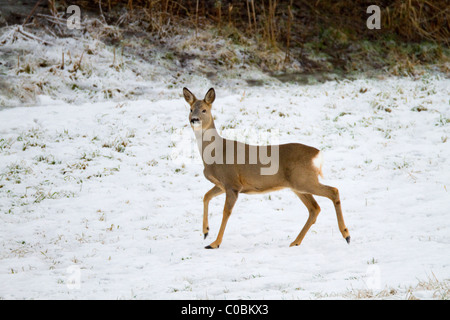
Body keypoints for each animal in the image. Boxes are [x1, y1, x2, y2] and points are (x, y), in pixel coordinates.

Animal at [183, 87, 352, 250]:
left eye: (204, 110)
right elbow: (206, 196)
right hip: (298, 185)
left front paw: (214, 243)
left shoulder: (232, 183)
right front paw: (205, 232)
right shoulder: (223, 185)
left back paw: (346, 234)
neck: (216, 152)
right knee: (314, 208)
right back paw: (295, 242)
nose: (194, 119)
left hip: (303, 181)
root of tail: (317, 154)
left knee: (333, 191)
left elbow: (226, 212)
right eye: (191, 109)